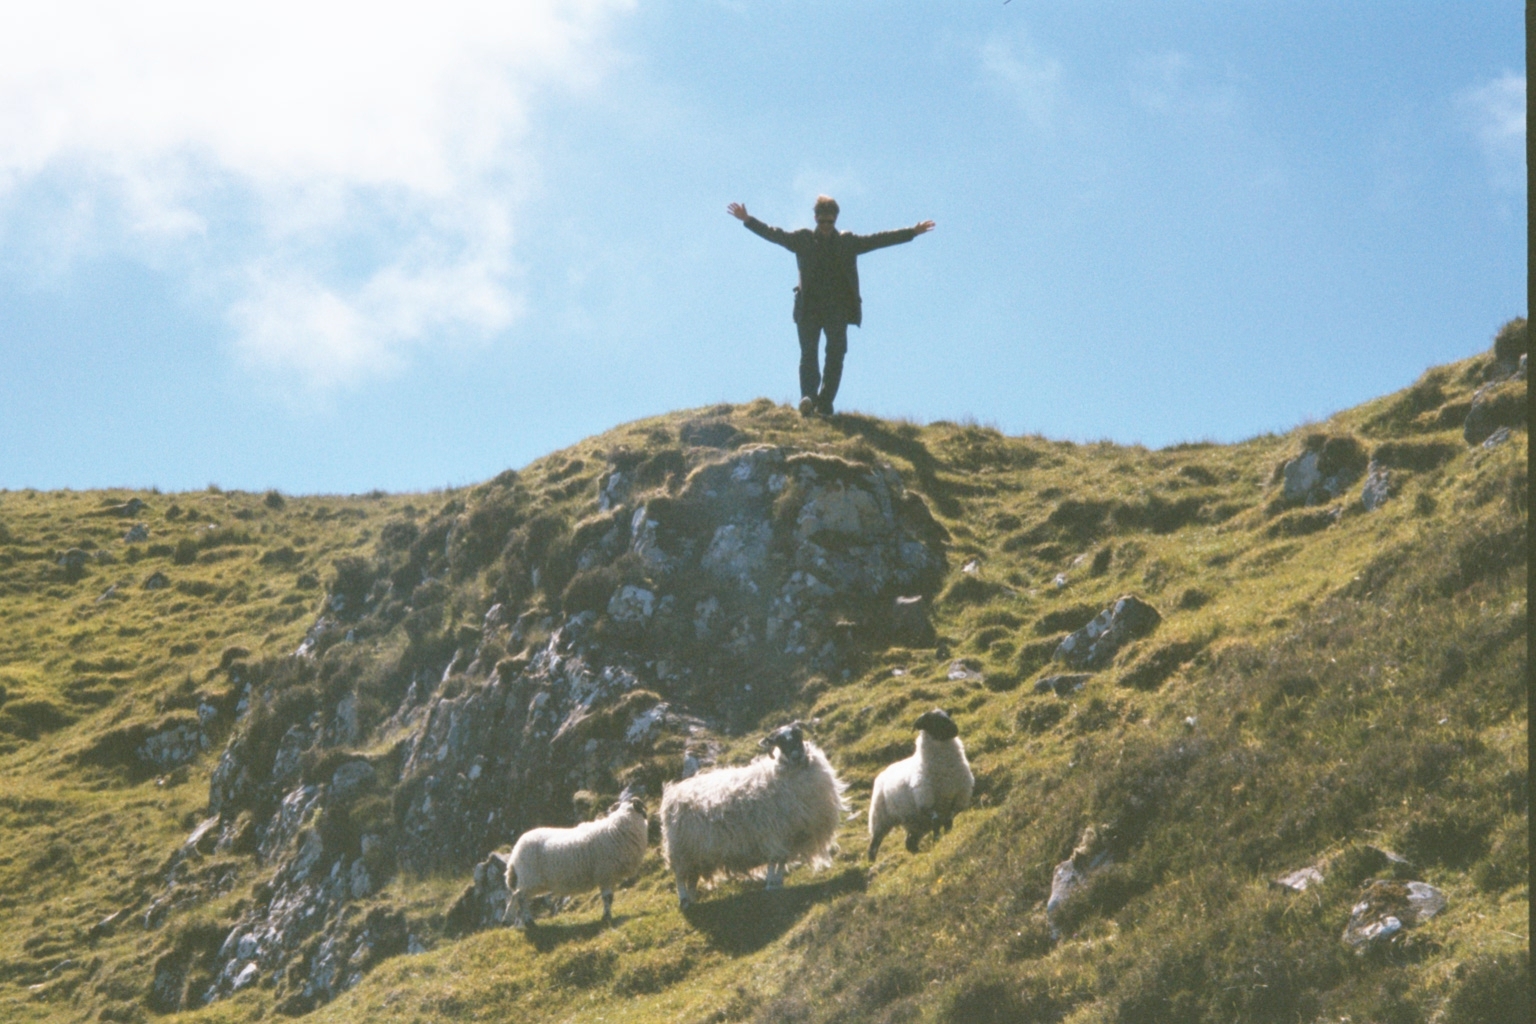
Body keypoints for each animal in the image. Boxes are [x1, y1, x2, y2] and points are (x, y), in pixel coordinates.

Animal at [503, 792, 648, 927]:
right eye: (641, 808)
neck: (619, 825)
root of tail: (515, 851)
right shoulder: (605, 874)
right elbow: (608, 898)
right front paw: (606, 917)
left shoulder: (609, 876)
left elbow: (609, 898)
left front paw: (606, 916)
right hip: (530, 878)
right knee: (520, 897)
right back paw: (526, 922)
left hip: (533, 882)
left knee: (518, 896)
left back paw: (515, 921)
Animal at [663, 724, 854, 908]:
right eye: (780, 742)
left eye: (798, 734)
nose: (796, 755)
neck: (784, 772)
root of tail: (672, 793)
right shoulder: (772, 832)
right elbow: (773, 859)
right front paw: (770, 884)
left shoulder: (789, 834)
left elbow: (782, 859)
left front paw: (778, 882)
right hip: (680, 849)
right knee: (680, 877)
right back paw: (684, 901)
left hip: (696, 854)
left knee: (692, 878)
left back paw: (692, 899)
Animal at [866, 709, 970, 859]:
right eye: (933, 721)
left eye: (947, 716)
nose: (955, 730)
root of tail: (884, 771)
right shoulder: (926, 802)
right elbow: (936, 821)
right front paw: (937, 840)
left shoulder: (957, 801)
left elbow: (948, 822)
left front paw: (945, 837)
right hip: (880, 819)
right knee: (874, 845)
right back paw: (871, 861)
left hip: (916, 823)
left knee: (909, 843)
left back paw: (918, 853)